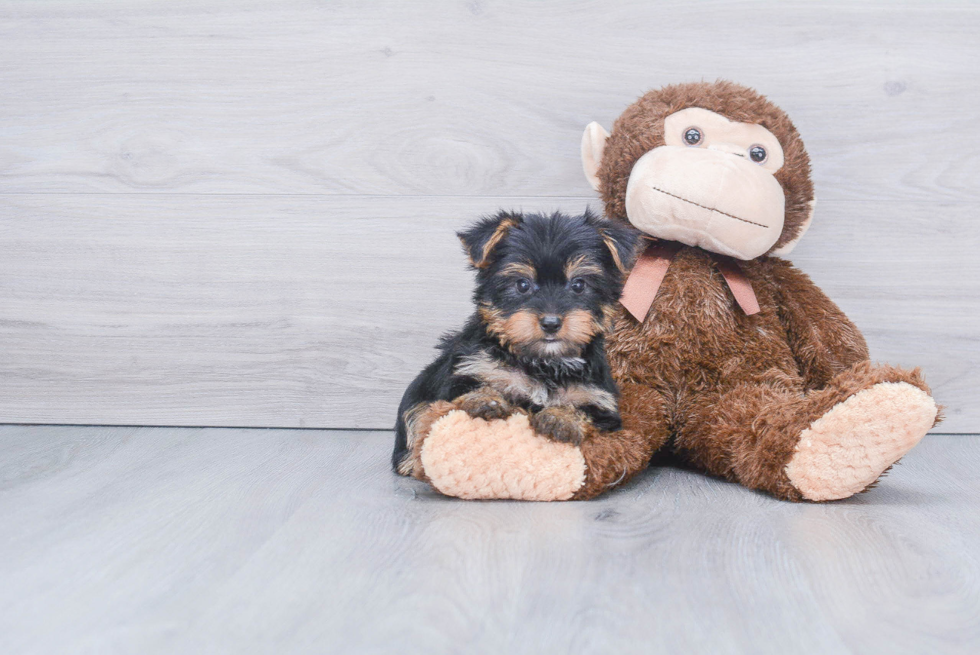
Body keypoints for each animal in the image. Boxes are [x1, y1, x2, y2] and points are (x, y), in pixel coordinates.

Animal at [394, 210, 640, 476]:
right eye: (522, 284)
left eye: (579, 285)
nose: (551, 323)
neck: (543, 362)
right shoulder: (464, 371)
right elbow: (465, 389)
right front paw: (485, 400)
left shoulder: (600, 402)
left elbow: (584, 411)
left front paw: (561, 418)